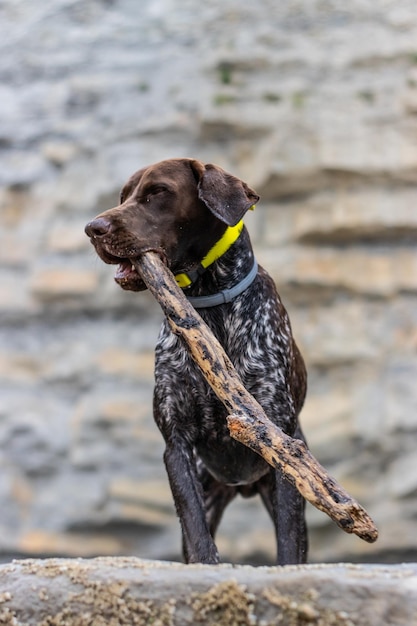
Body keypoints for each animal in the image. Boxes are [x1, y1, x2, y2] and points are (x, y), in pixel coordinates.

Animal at [84, 158, 308, 564]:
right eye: (123, 197)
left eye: (158, 192)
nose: (93, 228)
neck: (208, 308)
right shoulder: (176, 443)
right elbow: (194, 528)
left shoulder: (283, 449)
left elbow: (288, 539)